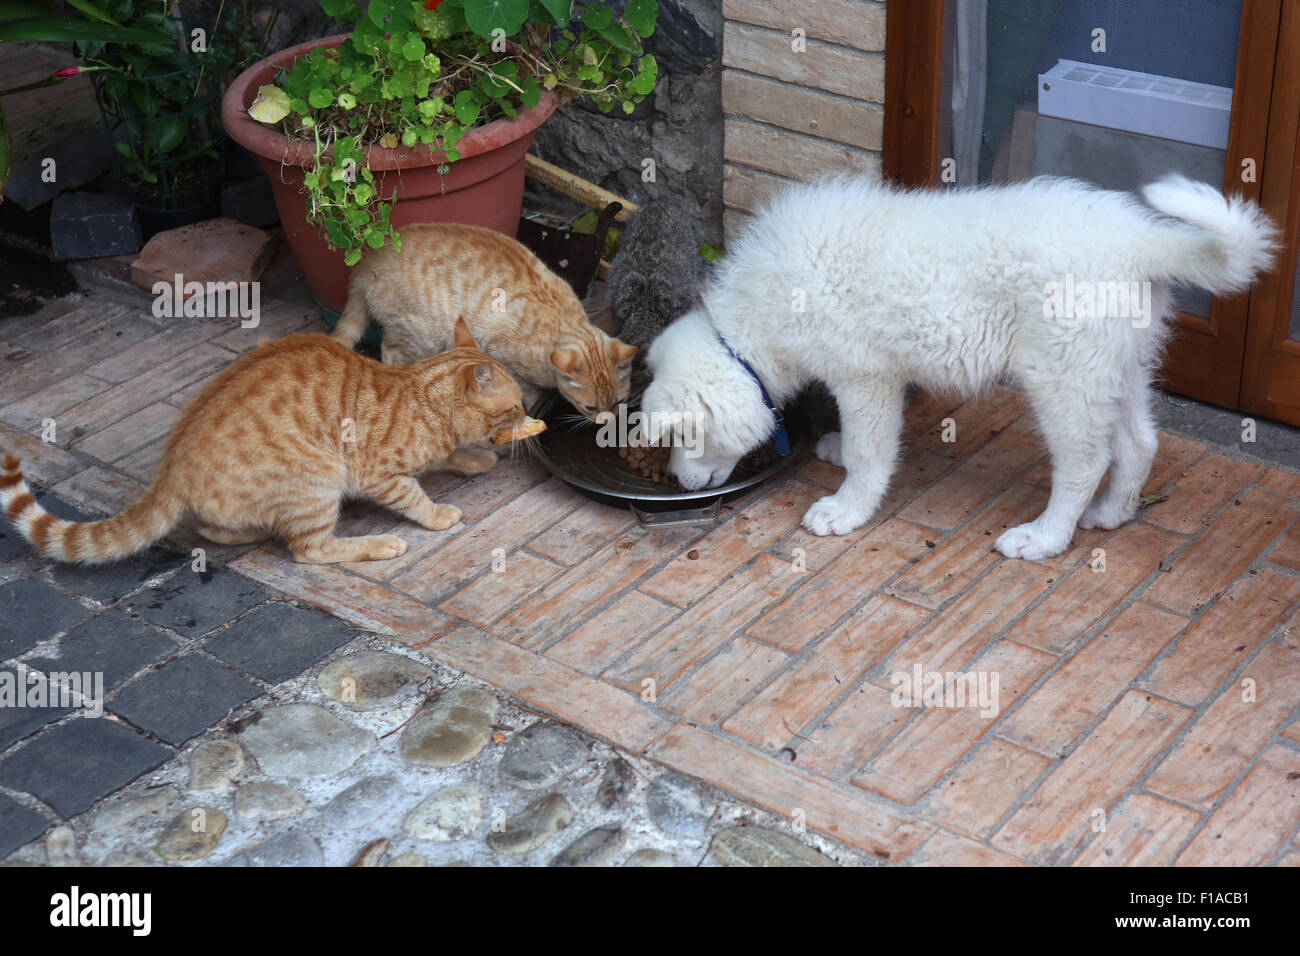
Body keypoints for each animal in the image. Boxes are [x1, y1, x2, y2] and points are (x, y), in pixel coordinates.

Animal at [0, 323, 538, 561]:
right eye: (515, 406)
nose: (529, 415)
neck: (422, 395)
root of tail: (172, 465)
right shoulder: (376, 473)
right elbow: (412, 494)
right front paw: (437, 513)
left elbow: (449, 457)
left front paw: (472, 458)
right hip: (318, 479)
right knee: (311, 549)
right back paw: (379, 543)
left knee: (212, 528)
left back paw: (252, 533)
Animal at [332, 223, 637, 476]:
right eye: (589, 407)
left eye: (619, 402)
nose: (607, 422)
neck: (562, 322)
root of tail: (368, 259)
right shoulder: (504, 357)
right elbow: (527, 395)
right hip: (421, 335)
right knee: (389, 349)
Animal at [644, 178, 1274, 561]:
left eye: (682, 437)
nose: (675, 483)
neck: (753, 322)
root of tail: (1138, 242)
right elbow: (864, 444)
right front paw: (837, 451)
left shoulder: (865, 377)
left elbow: (871, 453)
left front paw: (845, 509)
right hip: (1116, 365)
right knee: (1139, 443)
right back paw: (1109, 515)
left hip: (1062, 372)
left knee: (1085, 461)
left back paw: (1044, 538)